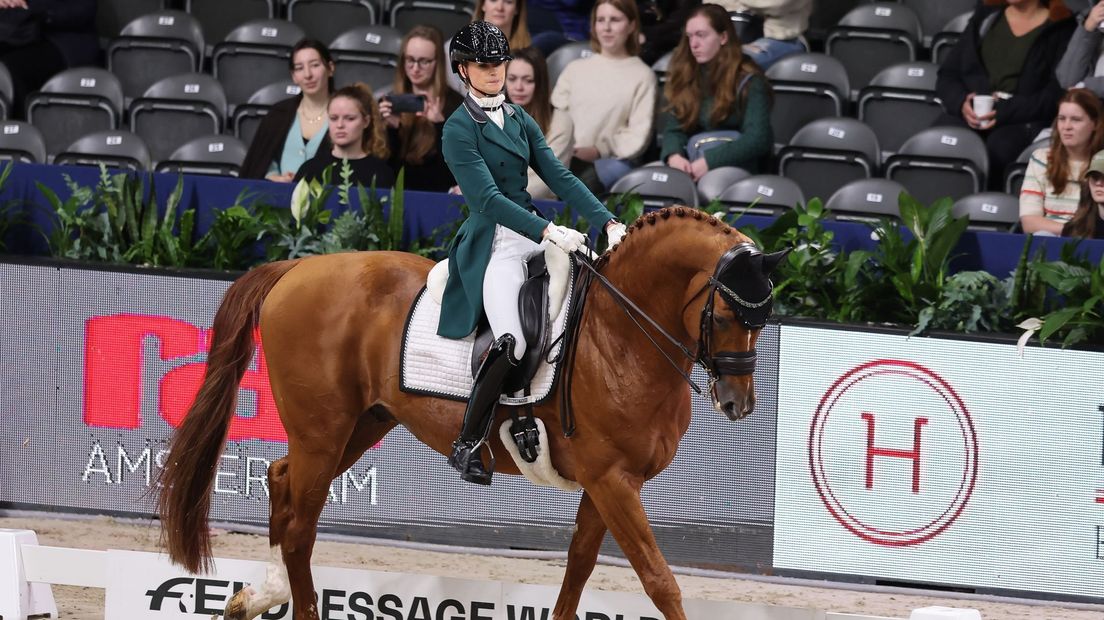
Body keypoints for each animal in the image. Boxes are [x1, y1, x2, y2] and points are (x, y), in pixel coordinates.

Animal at [160, 205, 786, 613]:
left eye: (763, 320)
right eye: (724, 316)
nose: (738, 403)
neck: (621, 332)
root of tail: (295, 268)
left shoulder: (605, 484)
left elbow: (578, 570)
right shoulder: (612, 481)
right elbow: (660, 581)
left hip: (358, 427)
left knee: (280, 480)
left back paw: (259, 595)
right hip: (323, 431)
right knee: (299, 528)